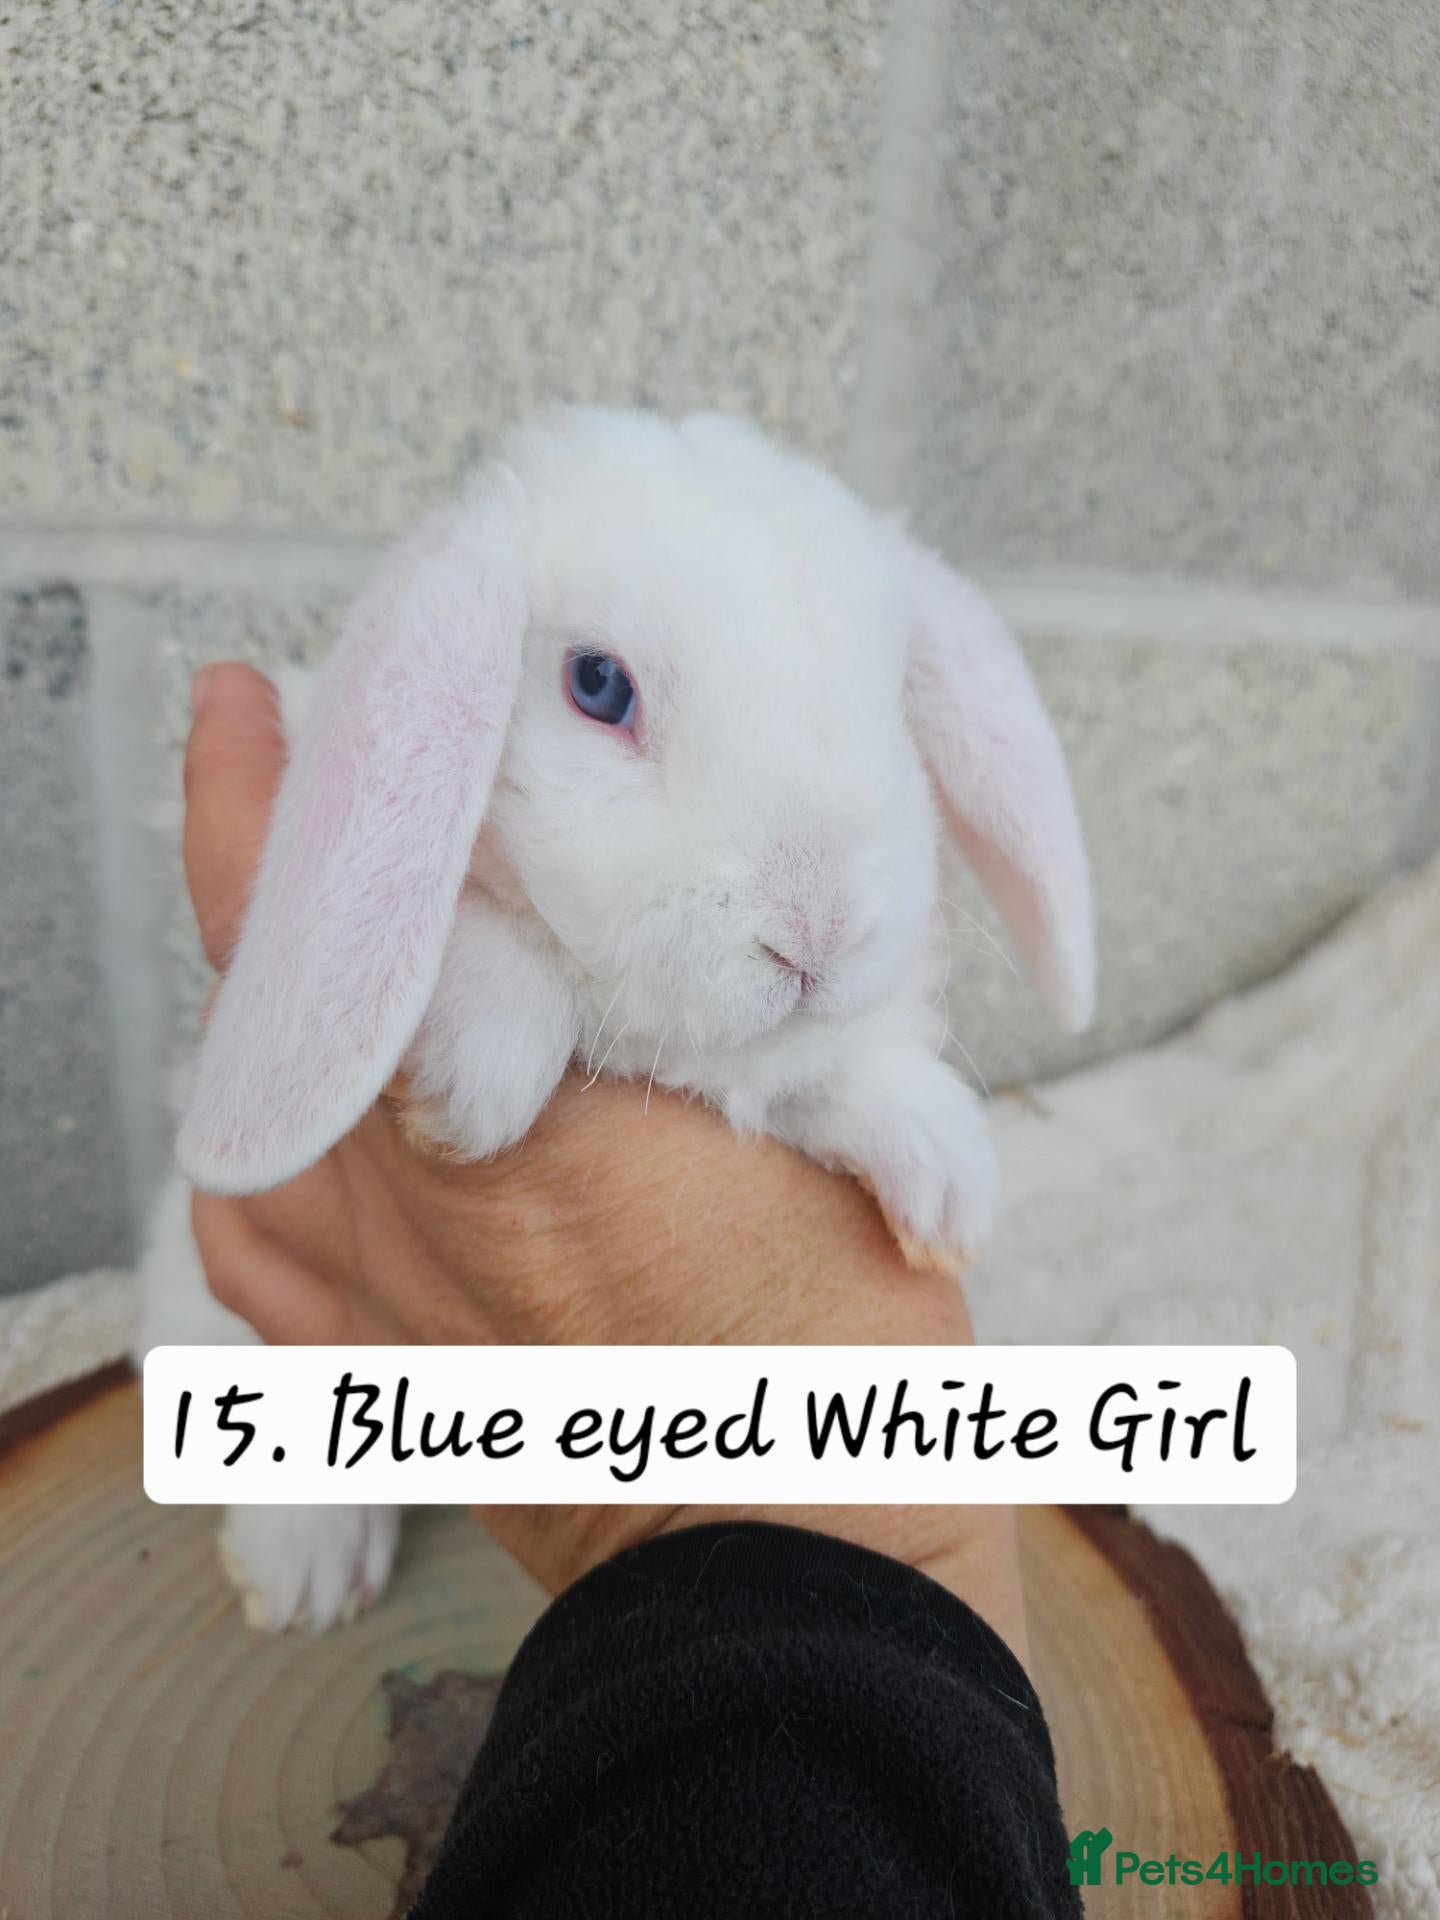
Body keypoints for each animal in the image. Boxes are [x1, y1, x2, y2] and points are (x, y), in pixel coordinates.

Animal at [136, 404, 1094, 1631]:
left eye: (892, 702)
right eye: (597, 685)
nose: (818, 932)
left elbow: (824, 1075)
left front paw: (946, 1176)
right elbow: (468, 938)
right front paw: (476, 1079)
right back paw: (304, 1582)